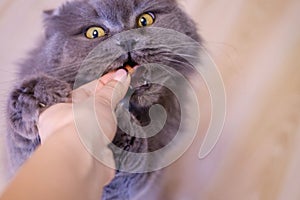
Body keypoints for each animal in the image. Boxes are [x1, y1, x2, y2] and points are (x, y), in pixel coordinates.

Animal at [4, 0, 200, 198]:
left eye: (145, 20)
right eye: (94, 33)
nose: (126, 39)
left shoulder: (143, 180)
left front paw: (124, 128)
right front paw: (38, 95)